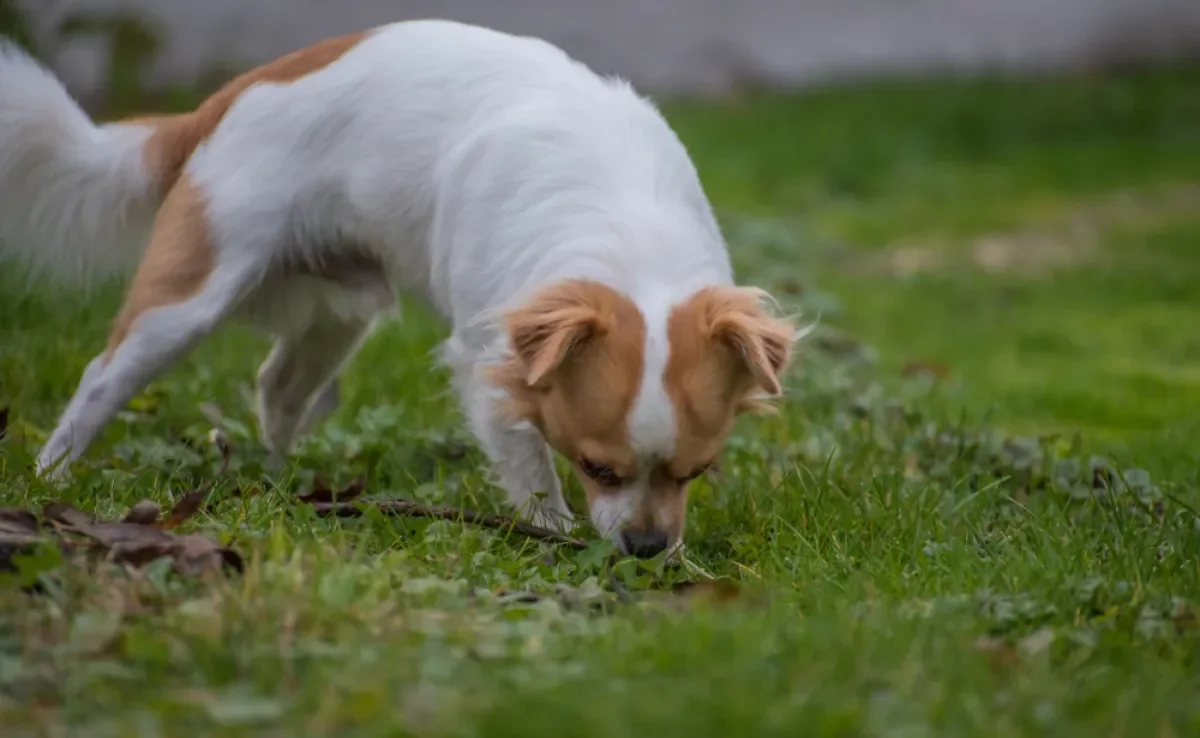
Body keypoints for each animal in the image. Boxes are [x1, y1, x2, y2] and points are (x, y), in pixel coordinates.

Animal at [2, 18, 806, 559]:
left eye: (698, 471)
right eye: (595, 468)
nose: (644, 546)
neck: (629, 234)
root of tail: (232, 93)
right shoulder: (488, 365)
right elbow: (529, 471)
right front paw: (552, 535)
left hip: (339, 314)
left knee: (278, 385)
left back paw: (279, 483)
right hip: (192, 294)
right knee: (103, 375)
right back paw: (50, 477)